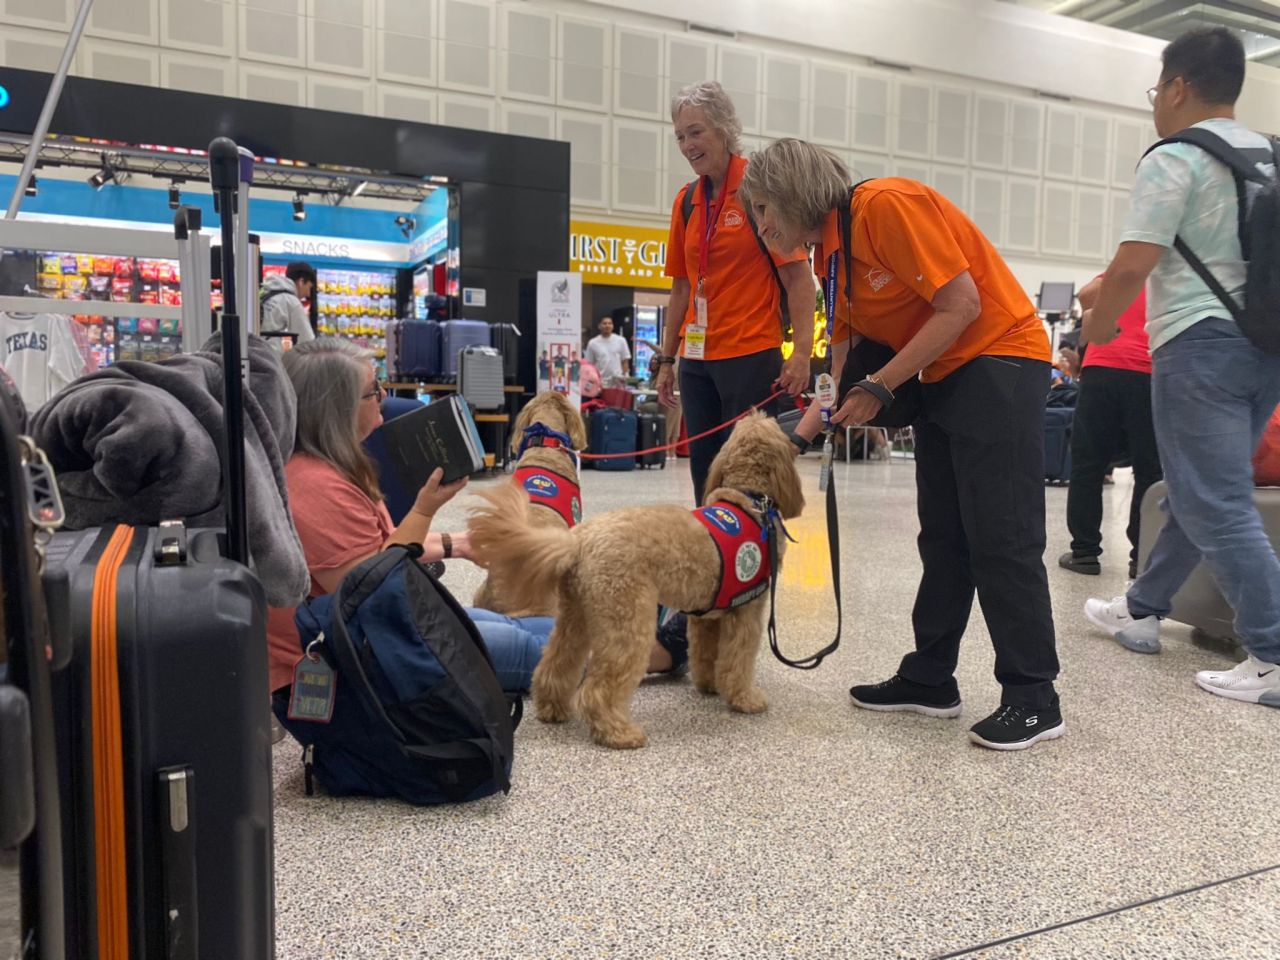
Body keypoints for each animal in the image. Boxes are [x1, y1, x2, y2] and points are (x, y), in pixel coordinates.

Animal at [465, 414, 803, 752]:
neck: (749, 499)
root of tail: (578, 540)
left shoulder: (705, 617)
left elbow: (706, 654)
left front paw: (709, 685)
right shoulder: (747, 612)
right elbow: (738, 661)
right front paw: (745, 699)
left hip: (576, 616)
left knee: (555, 664)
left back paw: (553, 709)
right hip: (627, 619)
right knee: (598, 689)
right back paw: (617, 732)